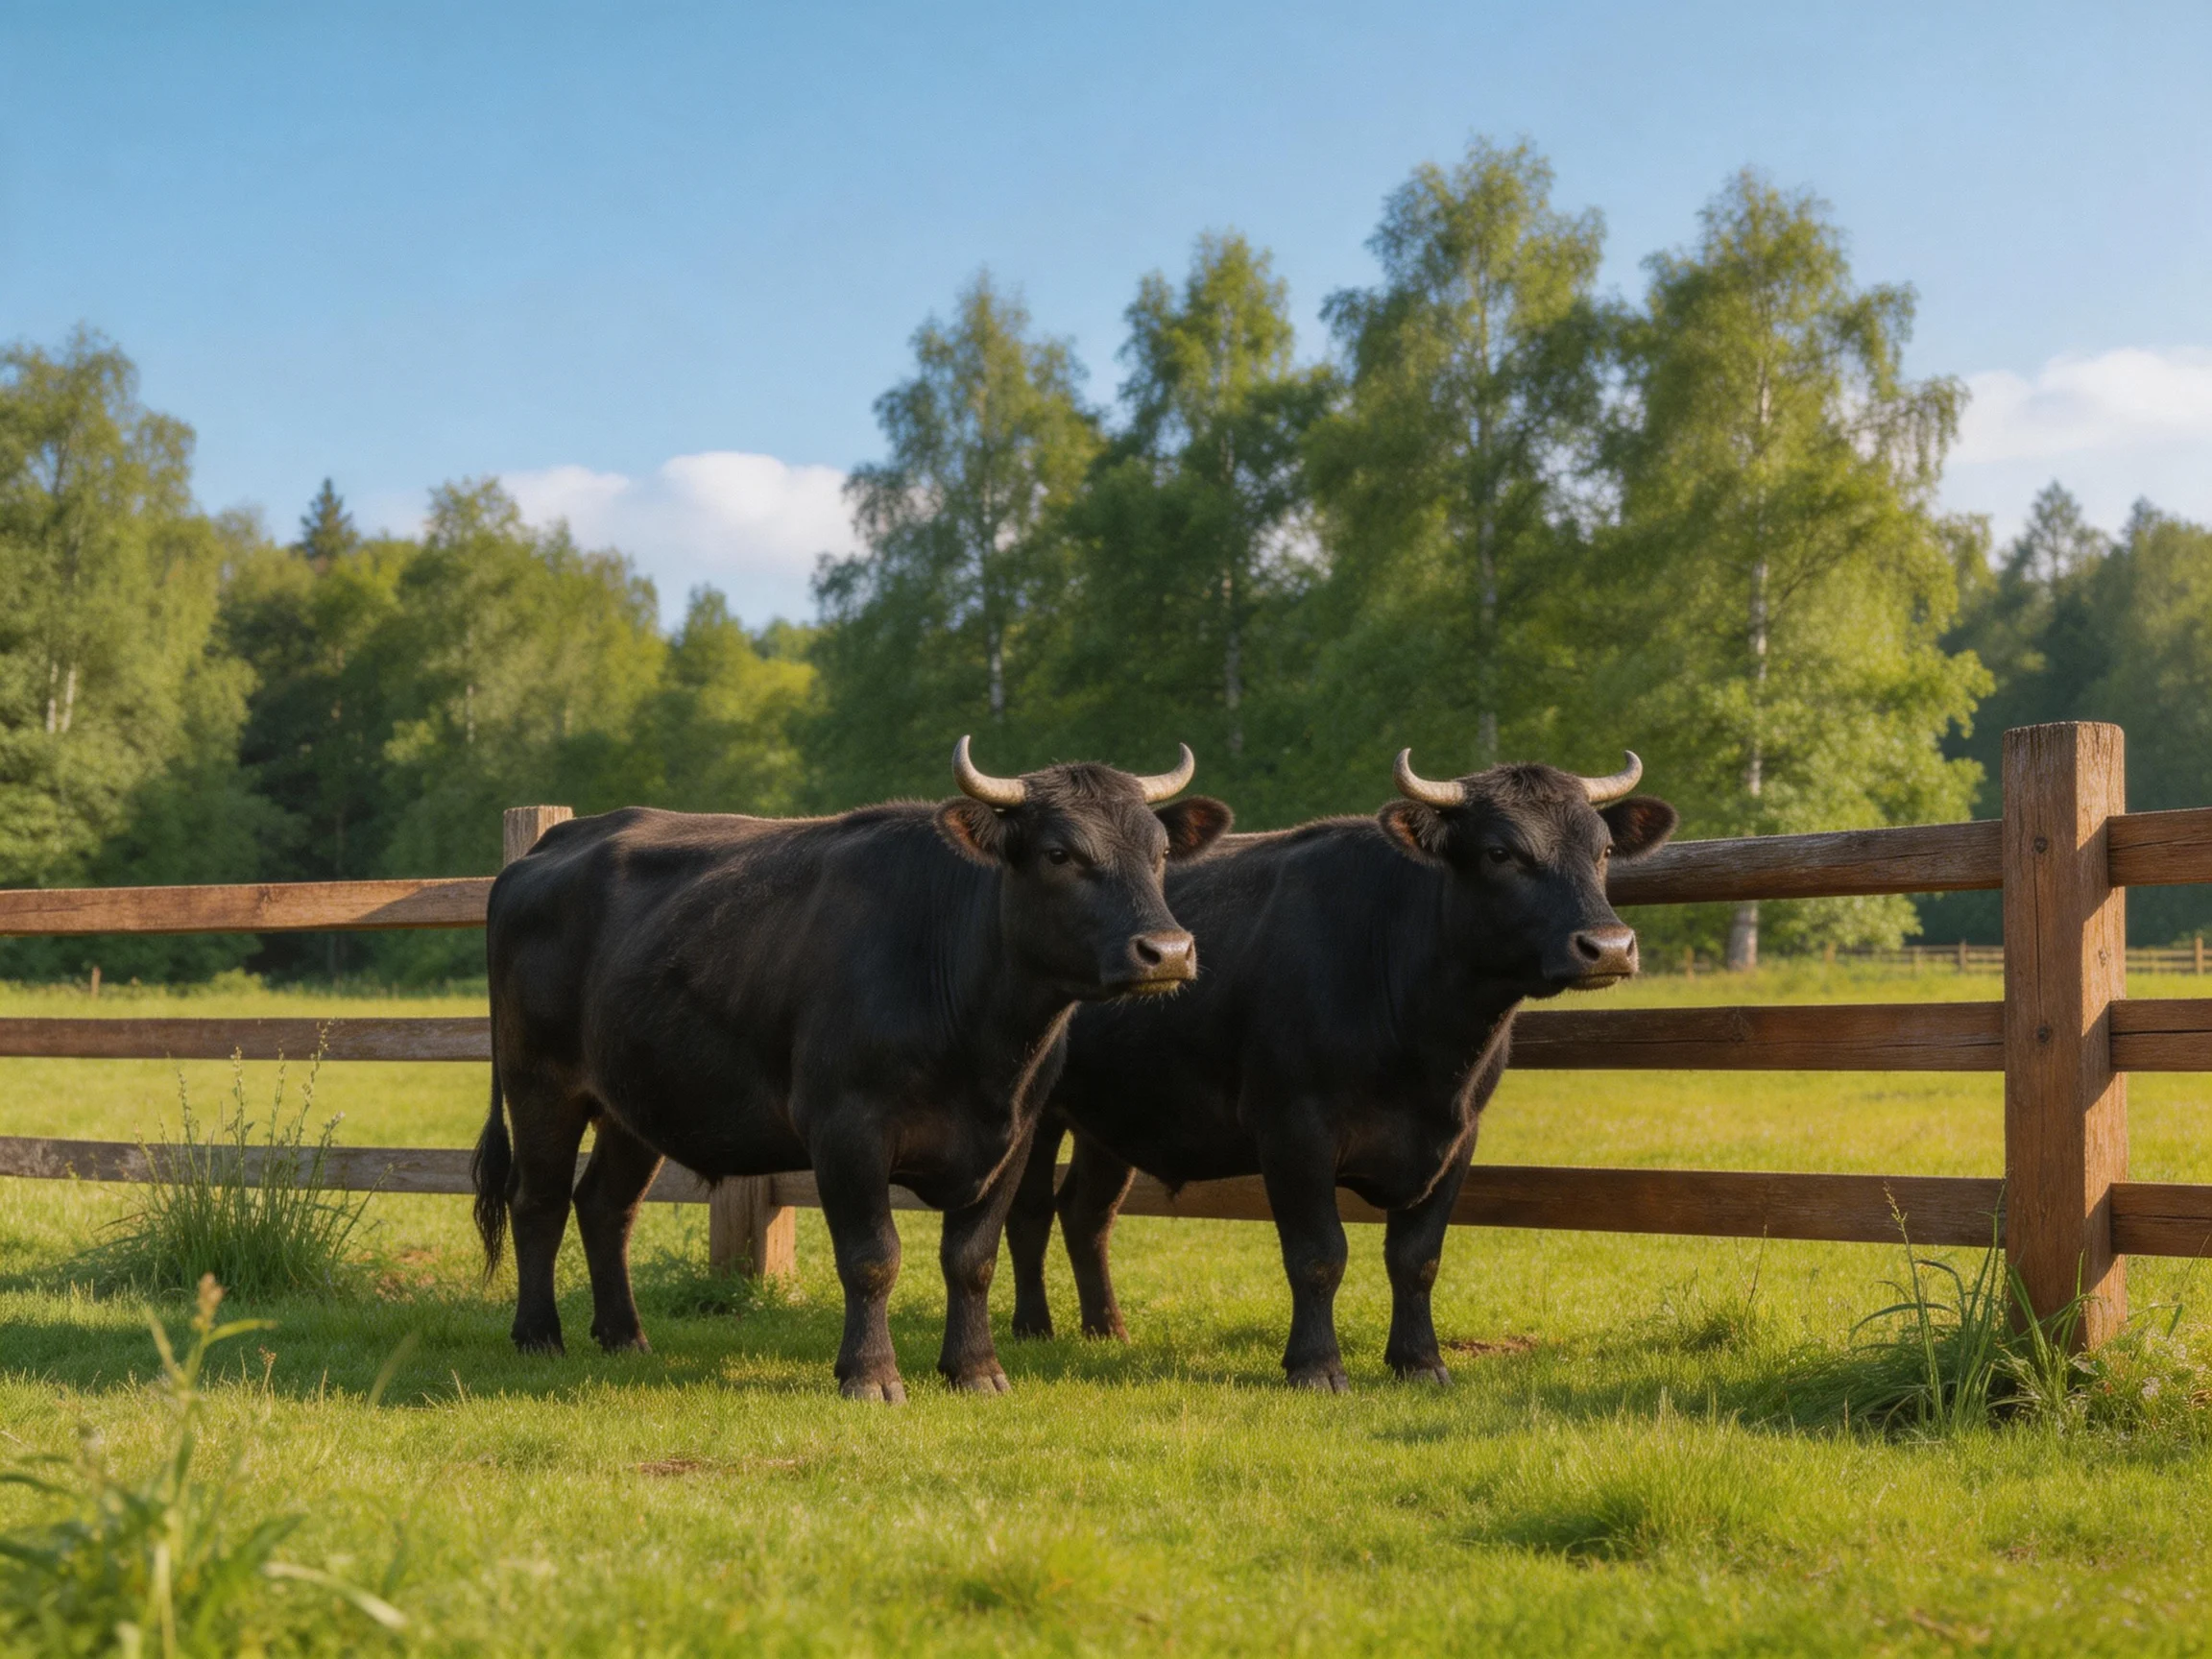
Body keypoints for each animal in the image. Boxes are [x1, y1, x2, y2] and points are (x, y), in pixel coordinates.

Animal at [471, 738, 1232, 1400]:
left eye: (1161, 852)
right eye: (1059, 852)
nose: (1166, 951)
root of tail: (547, 848)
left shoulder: (1015, 1135)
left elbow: (972, 1258)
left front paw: (975, 1369)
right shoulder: (847, 1130)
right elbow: (872, 1257)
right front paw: (870, 1374)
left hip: (634, 1101)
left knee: (606, 1205)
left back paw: (624, 1336)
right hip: (540, 1086)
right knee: (537, 1200)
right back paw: (539, 1335)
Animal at [1004, 751, 1676, 1389]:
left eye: (1603, 849)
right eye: (1500, 852)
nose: (1608, 946)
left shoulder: (1457, 1139)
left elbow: (1417, 1257)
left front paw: (1419, 1361)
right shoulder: (1293, 1132)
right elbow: (1318, 1256)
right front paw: (1316, 1366)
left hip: (1111, 1116)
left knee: (1086, 1214)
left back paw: (1106, 1330)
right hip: (1035, 1111)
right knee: (1029, 1209)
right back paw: (1033, 1328)